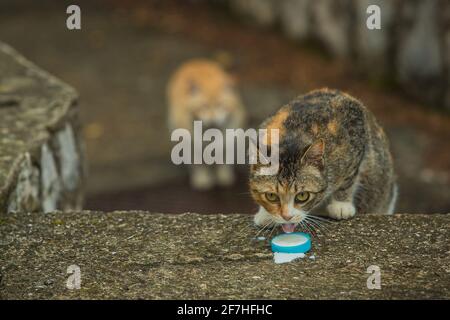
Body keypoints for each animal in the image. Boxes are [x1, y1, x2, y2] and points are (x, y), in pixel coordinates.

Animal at [168, 58, 246, 189]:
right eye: (203, 106)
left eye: (220, 105)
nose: (212, 119)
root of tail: (196, 61)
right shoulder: (191, 146)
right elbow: (198, 165)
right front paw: (202, 180)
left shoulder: (229, 142)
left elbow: (224, 162)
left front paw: (223, 177)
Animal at [250, 89, 398, 231]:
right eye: (271, 196)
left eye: (302, 196)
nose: (287, 217)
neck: (294, 136)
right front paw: (266, 214)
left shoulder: (356, 125)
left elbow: (348, 179)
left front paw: (341, 205)